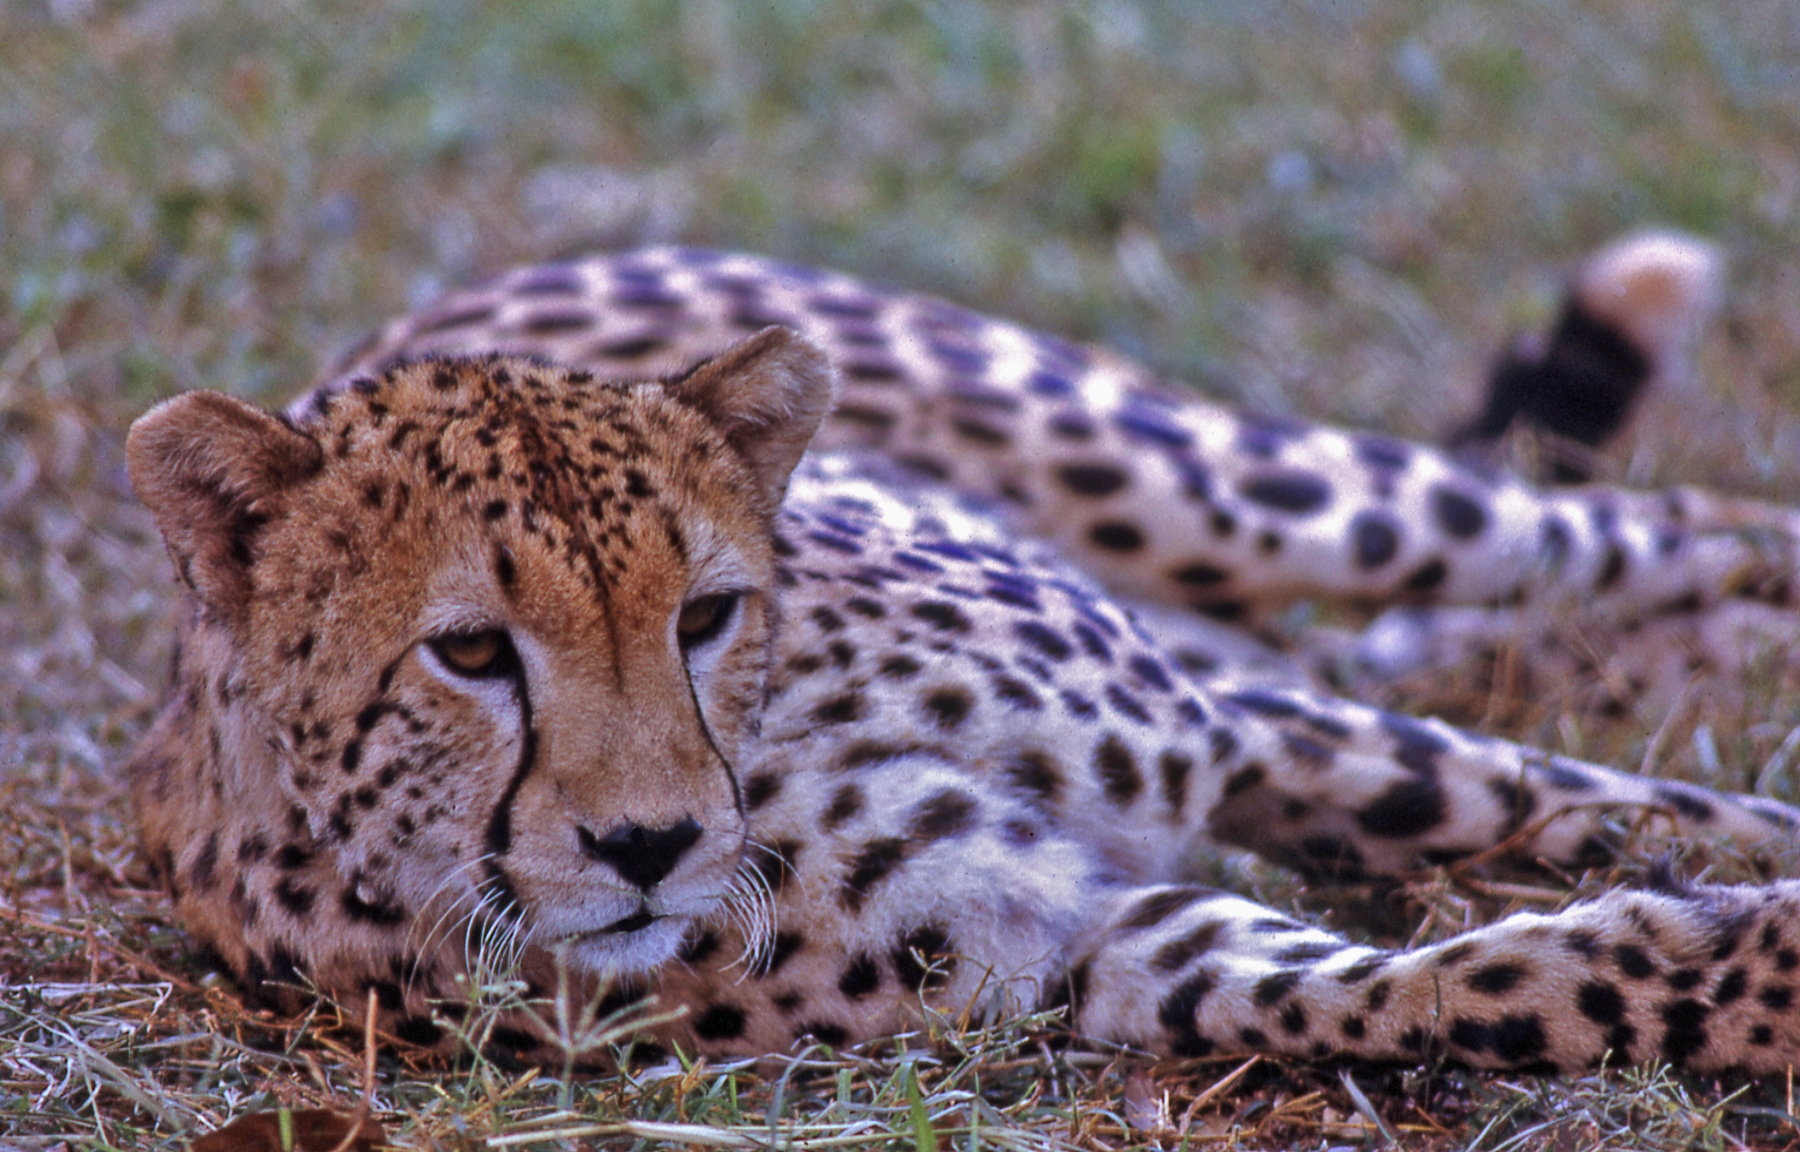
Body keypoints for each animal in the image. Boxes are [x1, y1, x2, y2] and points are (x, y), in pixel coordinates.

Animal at [130, 237, 1800, 1072]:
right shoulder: (1078, 942)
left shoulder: (1226, 725)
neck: (786, 731)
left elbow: (1569, 804)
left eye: (703, 613)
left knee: (1638, 527)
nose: (650, 848)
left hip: (1237, 495)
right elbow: (1477, 985)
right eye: (471, 652)